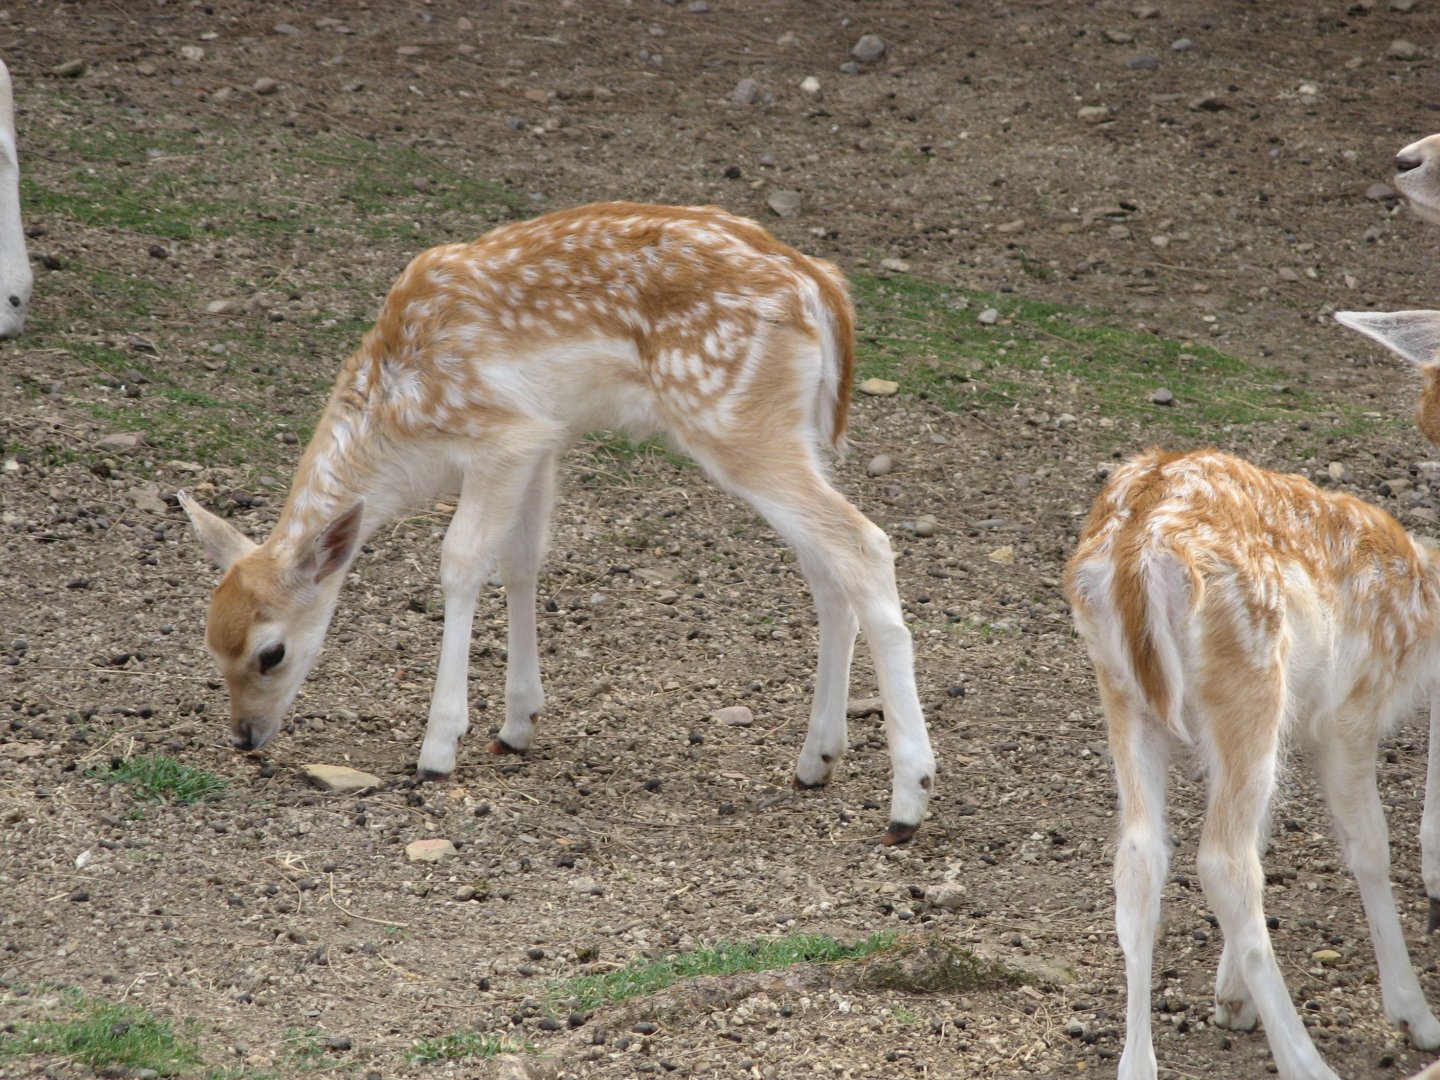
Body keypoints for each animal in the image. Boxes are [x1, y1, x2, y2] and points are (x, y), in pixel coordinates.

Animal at [178, 202, 937, 844]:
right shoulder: (543, 438)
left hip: (732, 418)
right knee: (826, 572)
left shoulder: (501, 434)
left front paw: (438, 746)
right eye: (211, 648)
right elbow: (521, 561)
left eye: (270, 653)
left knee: (863, 545)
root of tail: (824, 289)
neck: (400, 432)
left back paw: (908, 802)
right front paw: (516, 724)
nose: (244, 737)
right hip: (794, 431)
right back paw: (817, 761)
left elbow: (460, 563)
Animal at [1063, 308, 1440, 1080]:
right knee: (1224, 862)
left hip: (1126, 694)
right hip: (1249, 677)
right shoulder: (1348, 712)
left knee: (1140, 855)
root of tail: (1134, 556)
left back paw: (1138, 1063)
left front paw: (1229, 999)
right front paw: (1415, 1015)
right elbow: (1369, 844)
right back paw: (1308, 1063)